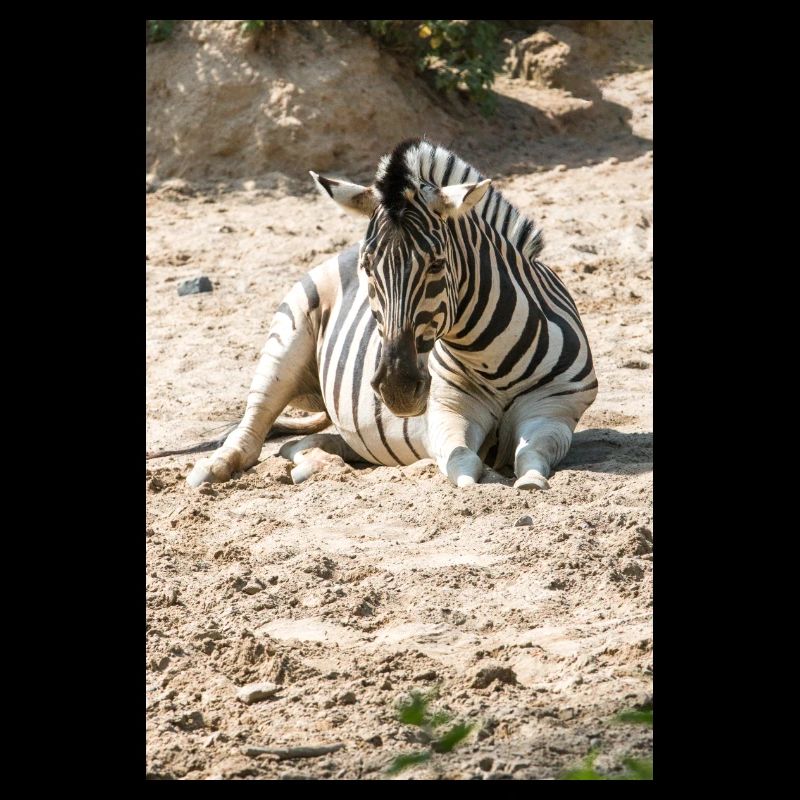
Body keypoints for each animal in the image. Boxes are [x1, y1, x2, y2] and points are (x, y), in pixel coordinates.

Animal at [185, 138, 597, 490]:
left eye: (437, 264)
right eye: (368, 267)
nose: (396, 389)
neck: (488, 357)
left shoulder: (555, 409)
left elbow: (531, 454)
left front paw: (529, 481)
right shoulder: (447, 411)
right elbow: (464, 462)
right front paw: (483, 480)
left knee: (303, 444)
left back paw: (315, 465)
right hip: (286, 340)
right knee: (254, 423)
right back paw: (212, 469)